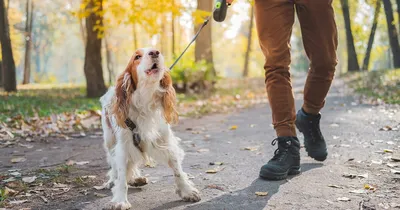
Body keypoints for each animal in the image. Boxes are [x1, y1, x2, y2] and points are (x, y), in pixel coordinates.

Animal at [99, 48, 202, 210]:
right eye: (137, 56)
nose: (155, 52)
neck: (145, 99)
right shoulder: (123, 145)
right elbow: (121, 175)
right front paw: (120, 200)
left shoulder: (165, 140)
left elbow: (177, 169)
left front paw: (187, 190)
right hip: (109, 140)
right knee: (113, 165)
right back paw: (112, 181)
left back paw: (135, 178)